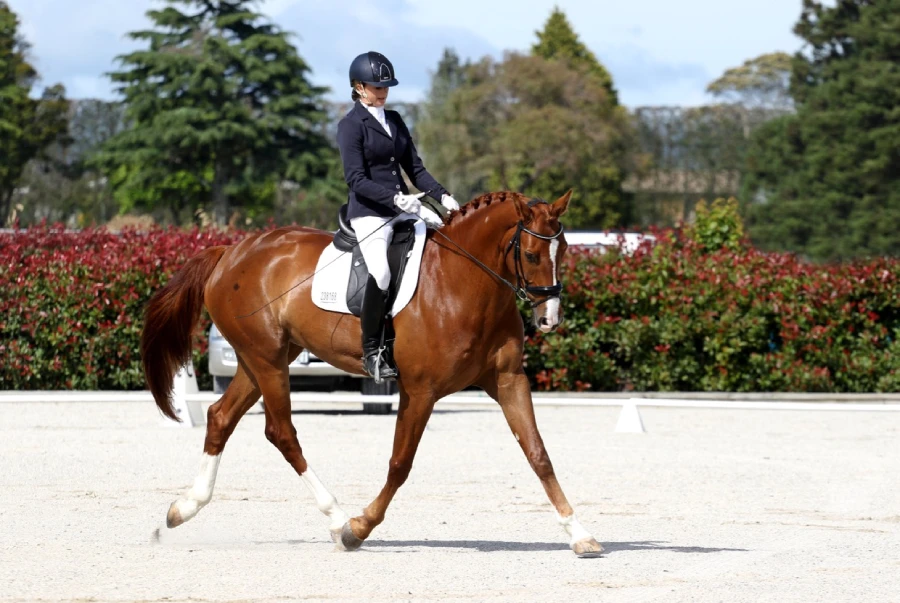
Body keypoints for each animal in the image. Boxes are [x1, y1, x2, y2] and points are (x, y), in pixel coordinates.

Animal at [142, 190, 604, 556]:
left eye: (564, 251)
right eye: (530, 254)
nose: (549, 320)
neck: (464, 282)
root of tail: (230, 252)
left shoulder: (509, 382)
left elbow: (539, 455)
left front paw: (579, 534)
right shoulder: (420, 390)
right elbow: (400, 463)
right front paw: (358, 529)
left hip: (265, 359)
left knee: (221, 417)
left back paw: (181, 510)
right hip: (267, 360)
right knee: (282, 432)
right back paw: (335, 517)